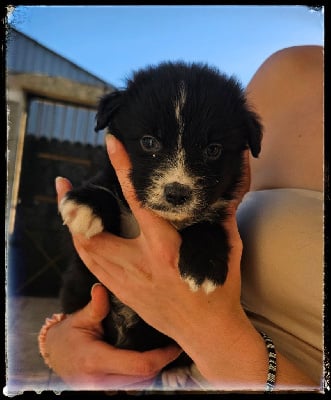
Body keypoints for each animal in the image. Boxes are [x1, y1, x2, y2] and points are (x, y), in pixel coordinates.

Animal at [59, 61, 262, 356]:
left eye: (213, 150)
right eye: (149, 142)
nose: (176, 193)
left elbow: (208, 224)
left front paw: (204, 264)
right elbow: (107, 188)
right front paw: (86, 204)